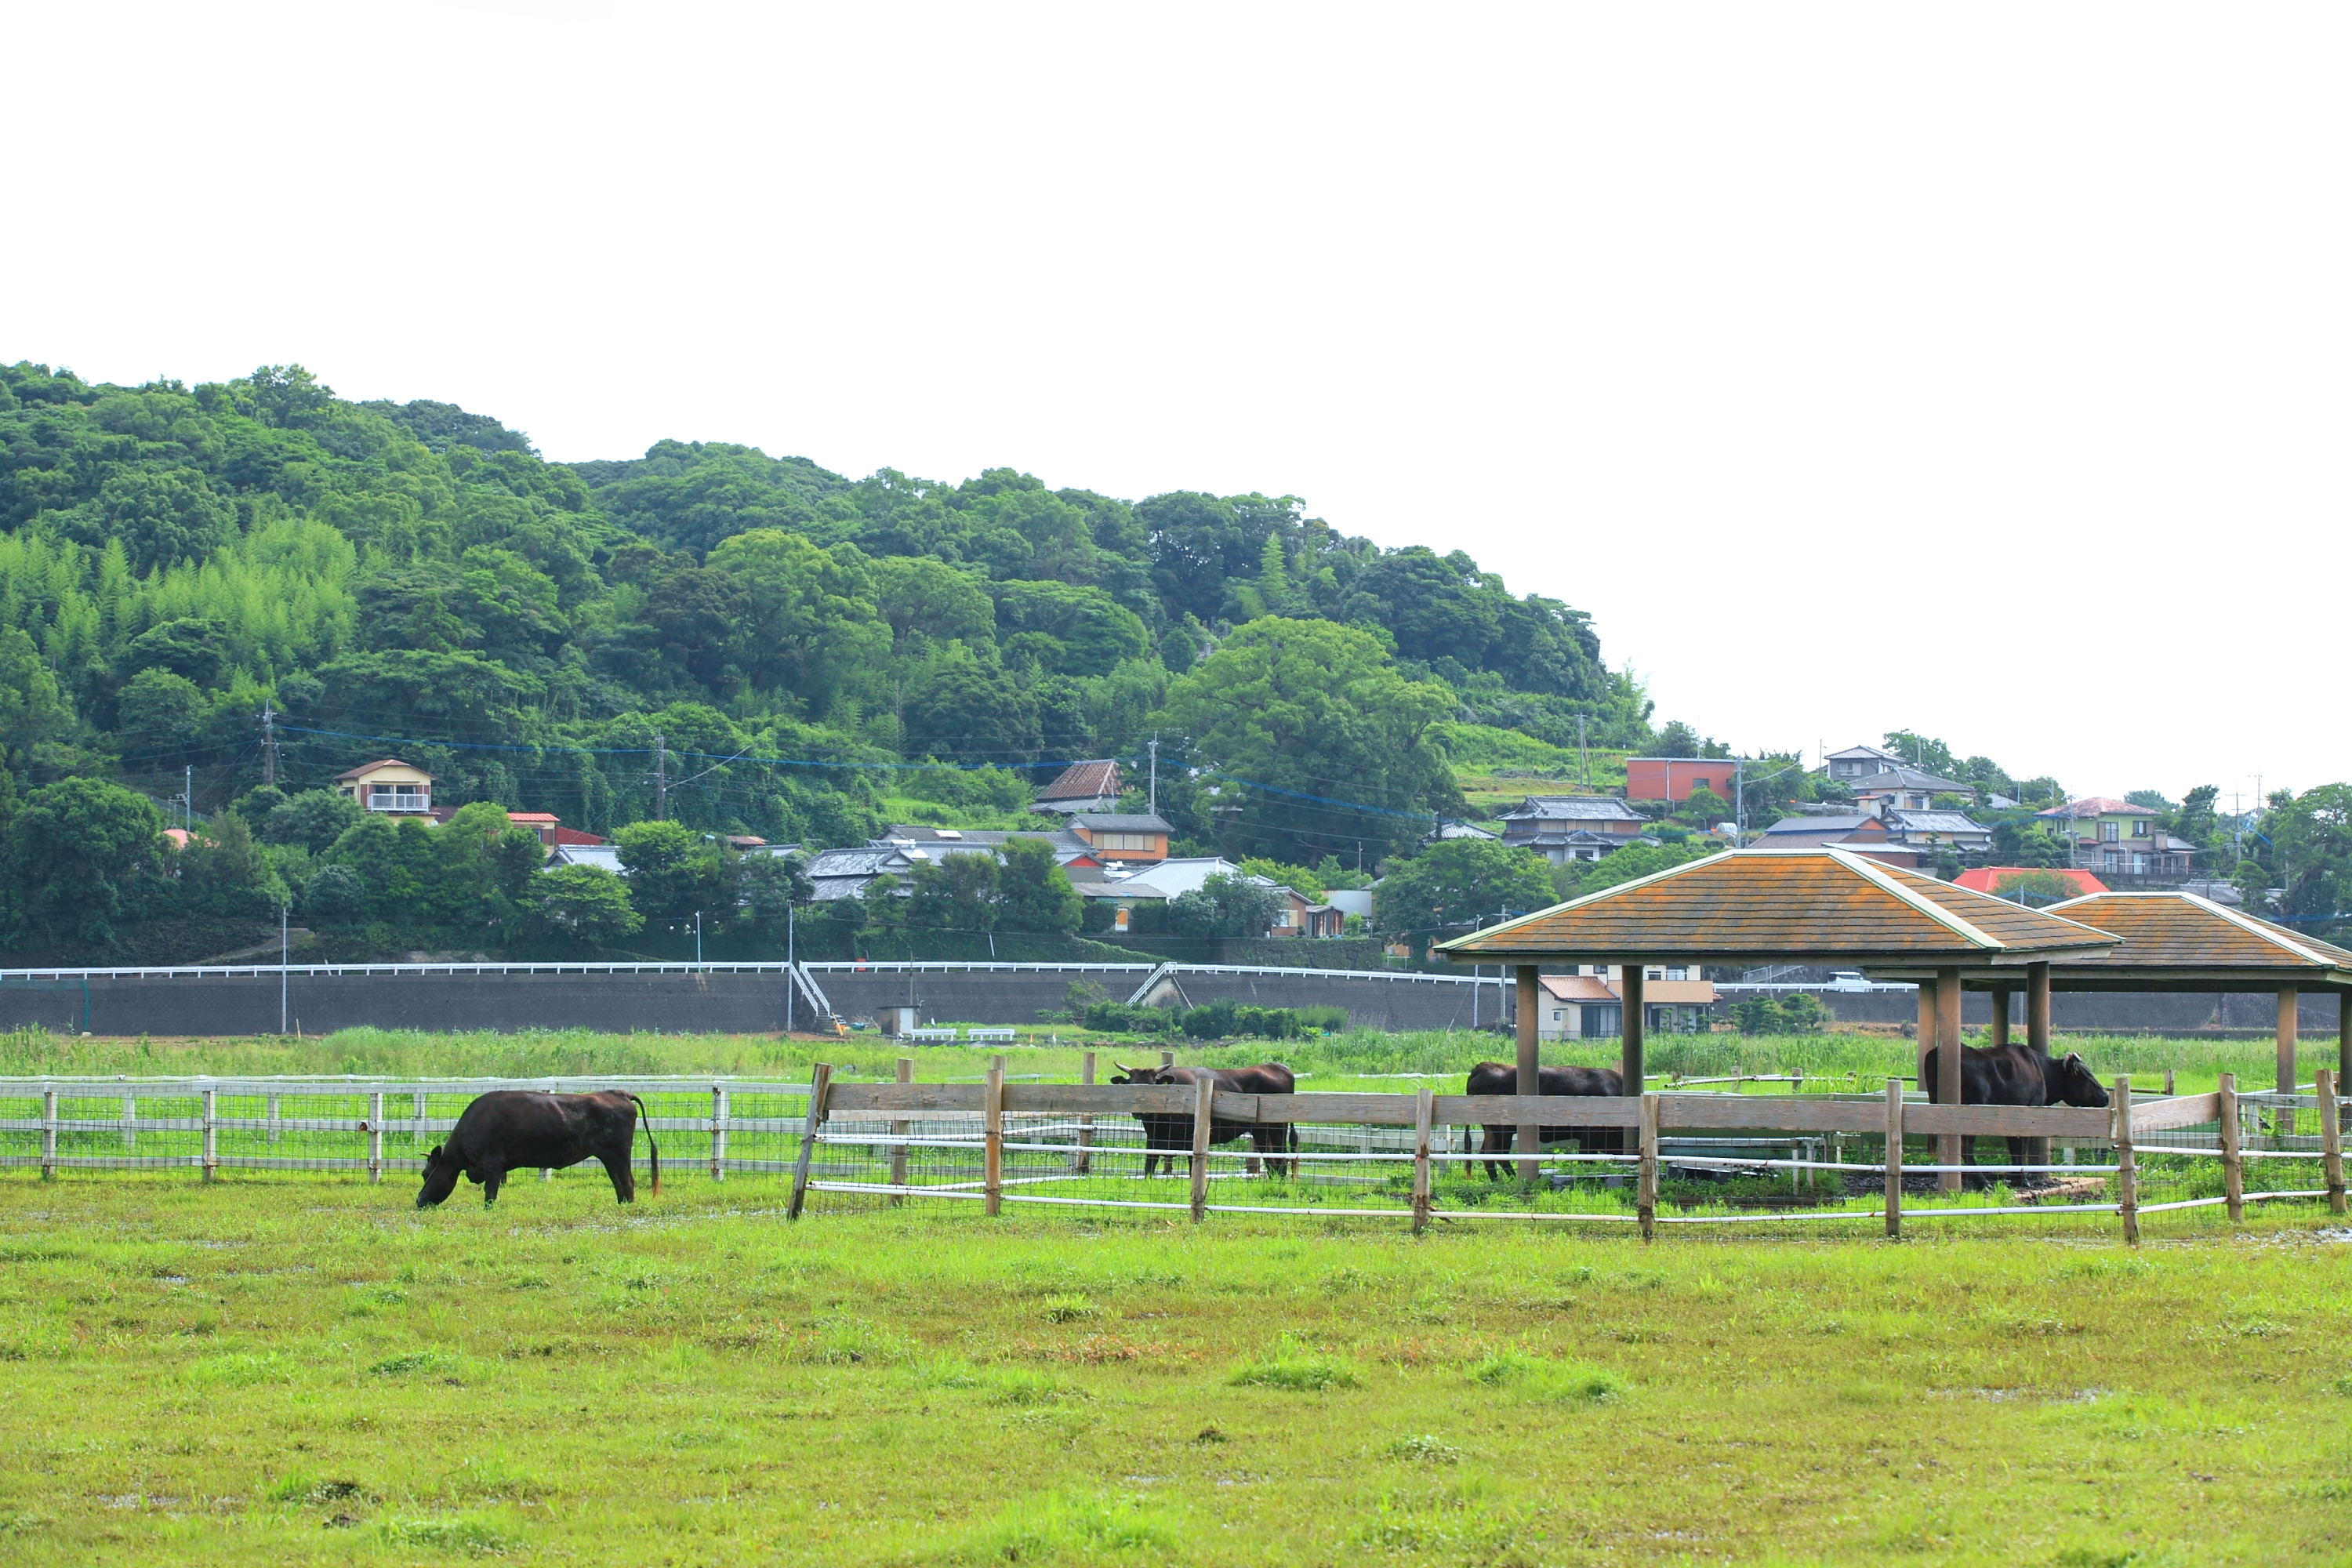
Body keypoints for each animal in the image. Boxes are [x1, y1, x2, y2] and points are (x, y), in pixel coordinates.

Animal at [416, 1091, 663, 1213]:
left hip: (618, 1154)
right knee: (619, 1183)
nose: (419, 1200)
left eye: (426, 1174)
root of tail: (619, 1093)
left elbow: (490, 1192)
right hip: (609, 1157)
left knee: (627, 1181)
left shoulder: (493, 1162)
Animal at [1105, 1067, 1298, 1175]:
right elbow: (1148, 1169)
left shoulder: (1191, 1141)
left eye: (1153, 1086)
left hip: (1277, 1130)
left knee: (1281, 1162)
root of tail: (1281, 1067)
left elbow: (1193, 1171)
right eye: (1131, 1085)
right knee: (1272, 1163)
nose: (1140, 1110)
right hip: (1261, 1132)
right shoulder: (1153, 1140)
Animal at [1458, 1062, 1628, 1185]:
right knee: (1498, 1154)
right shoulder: (1589, 1138)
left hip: (1493, 1130)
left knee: (1488, 1155)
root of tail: (1484, 1066)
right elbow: (1586, 1161)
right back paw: (1511, 1179)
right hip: (1503, 1130)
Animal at [1929, 1044, 2117, 1189]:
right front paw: (2022, 1179)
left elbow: (2014, 1147)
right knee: (1966, 1147)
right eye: (2086, 1076)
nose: (2106, 1097)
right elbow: (2022, 1146)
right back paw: (1982, 1182)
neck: (2042, 1071)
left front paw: (2015, 1177)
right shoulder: (2029, 1111)